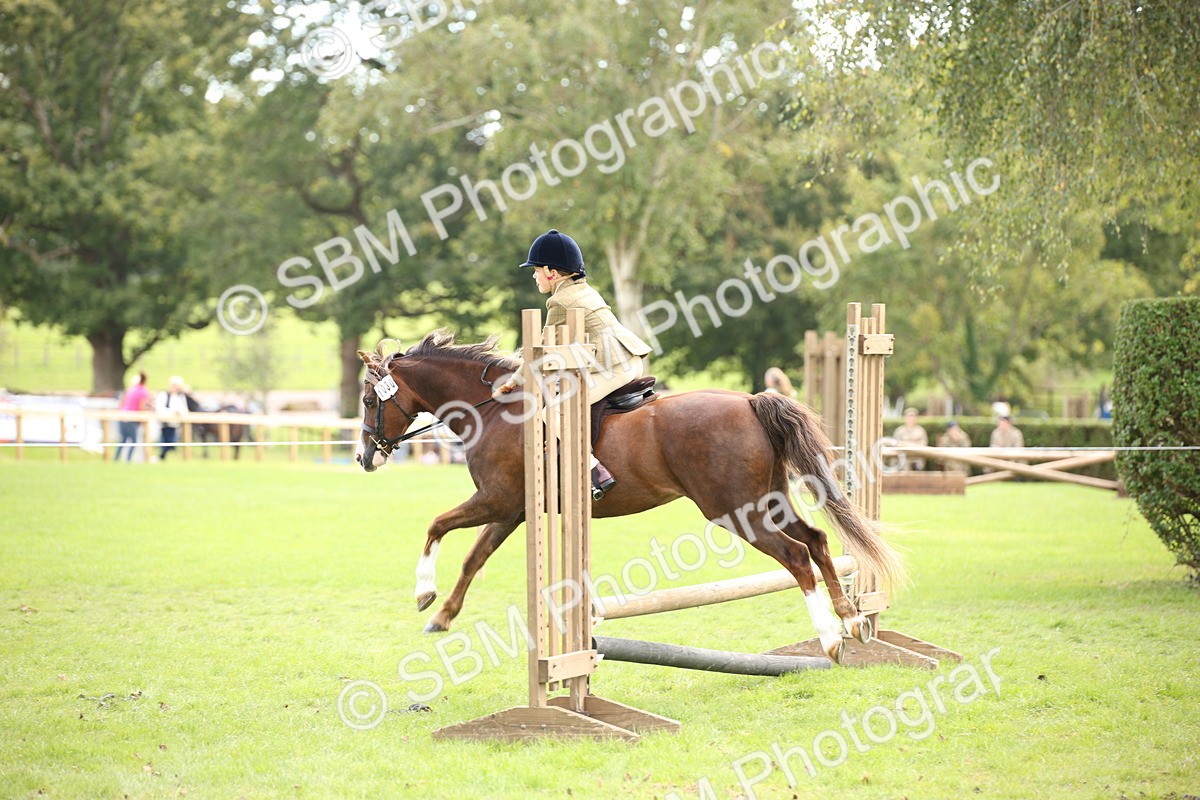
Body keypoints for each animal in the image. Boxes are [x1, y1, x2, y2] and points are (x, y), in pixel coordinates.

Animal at [354, 330, 904, 663]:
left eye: (366, 400)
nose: (364, 457)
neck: (492, 409)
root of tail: (751, 400)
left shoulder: (496, 500)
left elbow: (436, 525)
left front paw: (423, 592)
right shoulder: (512, 510)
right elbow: (474, 558)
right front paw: (442, 615)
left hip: (733, 511)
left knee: (795, 556)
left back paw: (831, 638)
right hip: (764, 500)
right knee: (816, 541)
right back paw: (851, 619)